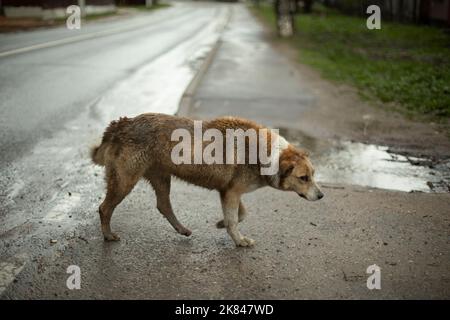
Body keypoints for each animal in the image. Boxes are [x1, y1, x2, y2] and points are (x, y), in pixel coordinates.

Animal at [91, 113, 324, 248]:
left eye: (313, 175)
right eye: (303, 178)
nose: (321, 195)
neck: (265, 154)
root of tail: (120, 124)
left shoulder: (230, 191)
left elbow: (240, 214)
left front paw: (221, 224)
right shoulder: (231, 193)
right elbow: (234, 219)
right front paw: (239, 240)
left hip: (161, 177)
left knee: (163, 205)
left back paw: (182, 229)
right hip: (125, 181)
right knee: (105, 208)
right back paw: (108, 235)